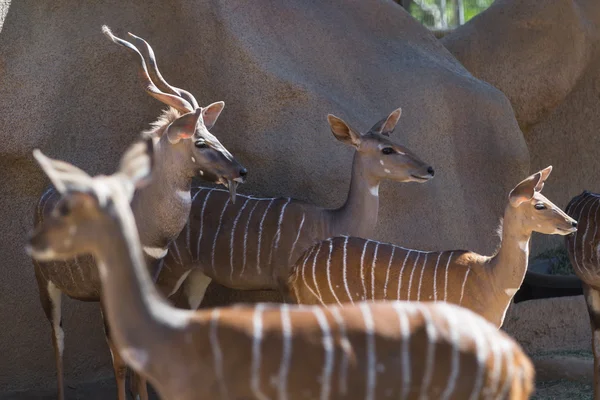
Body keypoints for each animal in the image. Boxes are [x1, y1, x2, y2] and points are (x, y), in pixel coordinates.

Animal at [29, 27, 246, 400]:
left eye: (213, 134)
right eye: (200, 142)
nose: (241, 171)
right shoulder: (106, 292)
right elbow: (119, 360)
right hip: (46, 282)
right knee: (57, 337)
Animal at [157, 108, 434, 310]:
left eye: (396, 141)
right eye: (387, 149)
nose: (429, 169)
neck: (330, 223)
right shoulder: (287, 284)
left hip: (199, 273)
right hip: (173, 263)